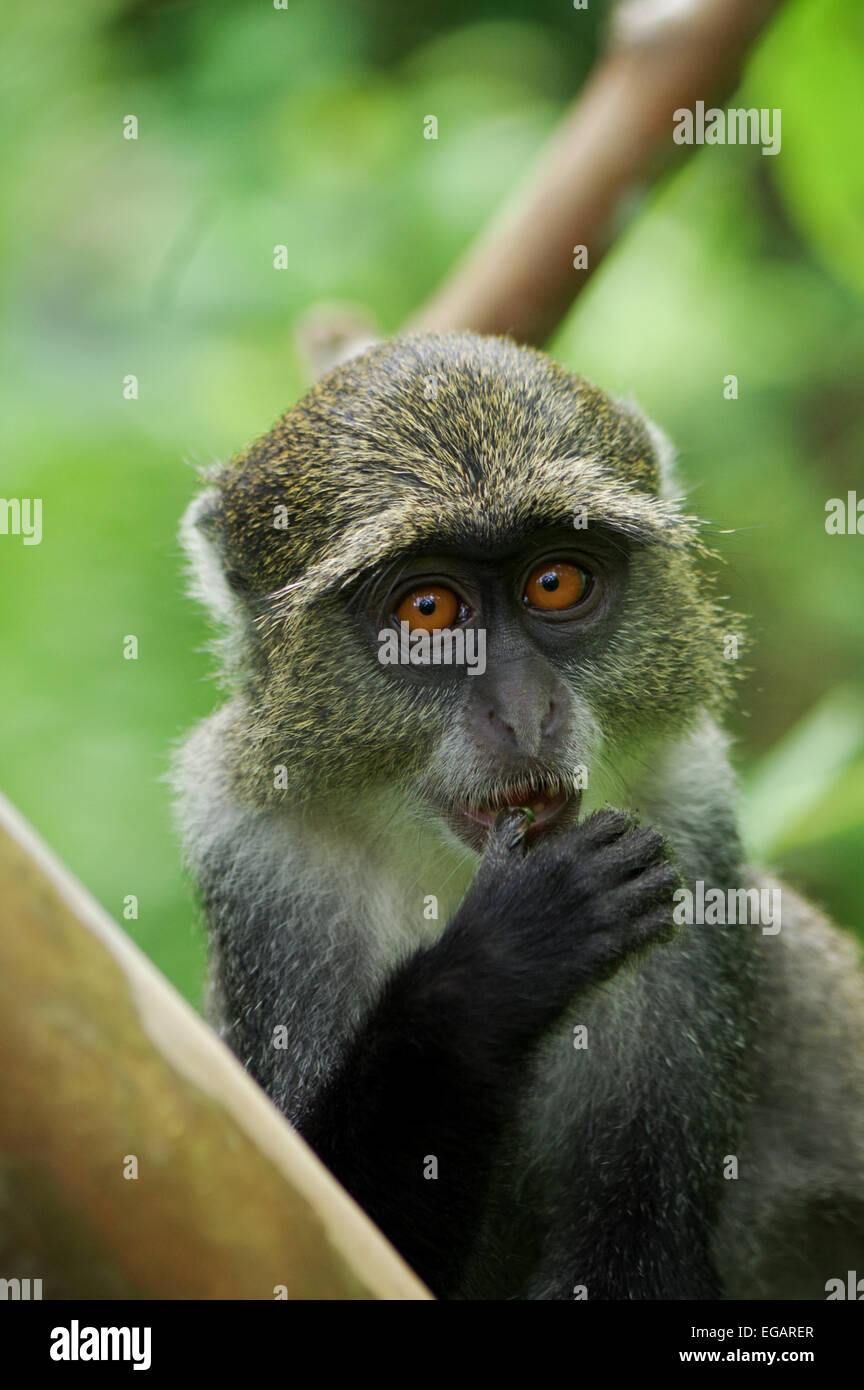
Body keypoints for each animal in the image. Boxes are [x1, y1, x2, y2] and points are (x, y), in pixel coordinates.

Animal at [174, 330, 864, 1295]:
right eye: (428, 609)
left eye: (556, 582)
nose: (527, 712)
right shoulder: (258, 858)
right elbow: (288, 1230)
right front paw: (505, 958)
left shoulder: (687, 816)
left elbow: (635, 1252)